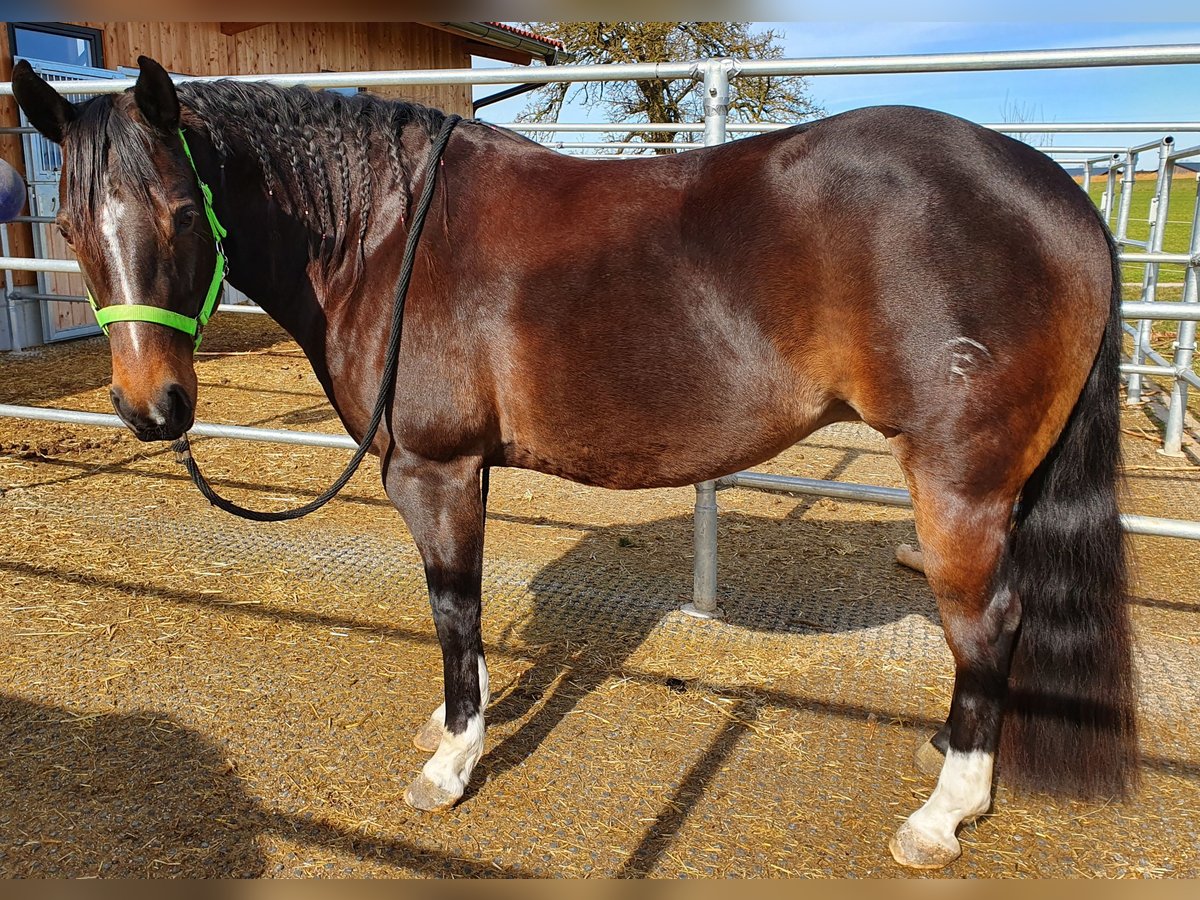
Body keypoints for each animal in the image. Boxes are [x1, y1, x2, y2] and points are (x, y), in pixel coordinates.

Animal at [11, 58, 1132, 873]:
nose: (153, 409)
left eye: (181, 216)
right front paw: (450, 724)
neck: (383, 232)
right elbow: (459, 613)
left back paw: (944, 814)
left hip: (958, 486)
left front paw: (454, 761)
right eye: (65, 225)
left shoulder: (434, 470)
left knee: (987, 624)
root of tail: (1059, 198)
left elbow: (451, 604)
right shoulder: (462, 470)